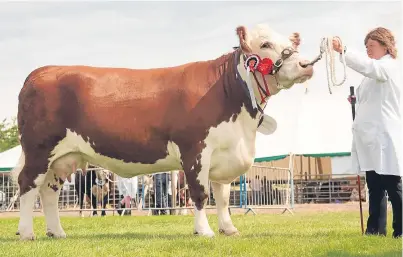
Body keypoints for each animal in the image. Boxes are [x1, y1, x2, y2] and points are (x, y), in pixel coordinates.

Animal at [11, 23, 316, 239]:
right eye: (265, 44)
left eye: (291, 44)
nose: (305, 65)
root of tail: (40, 72)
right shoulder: (195, 151)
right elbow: (201, 194)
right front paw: (204, 231)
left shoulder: (225, 151)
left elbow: (222, 197)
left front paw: (228, 229)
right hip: (39, 149)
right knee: (28, 185)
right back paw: (27, 233)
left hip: (63, 158)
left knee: (48, 191)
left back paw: (57, 232)